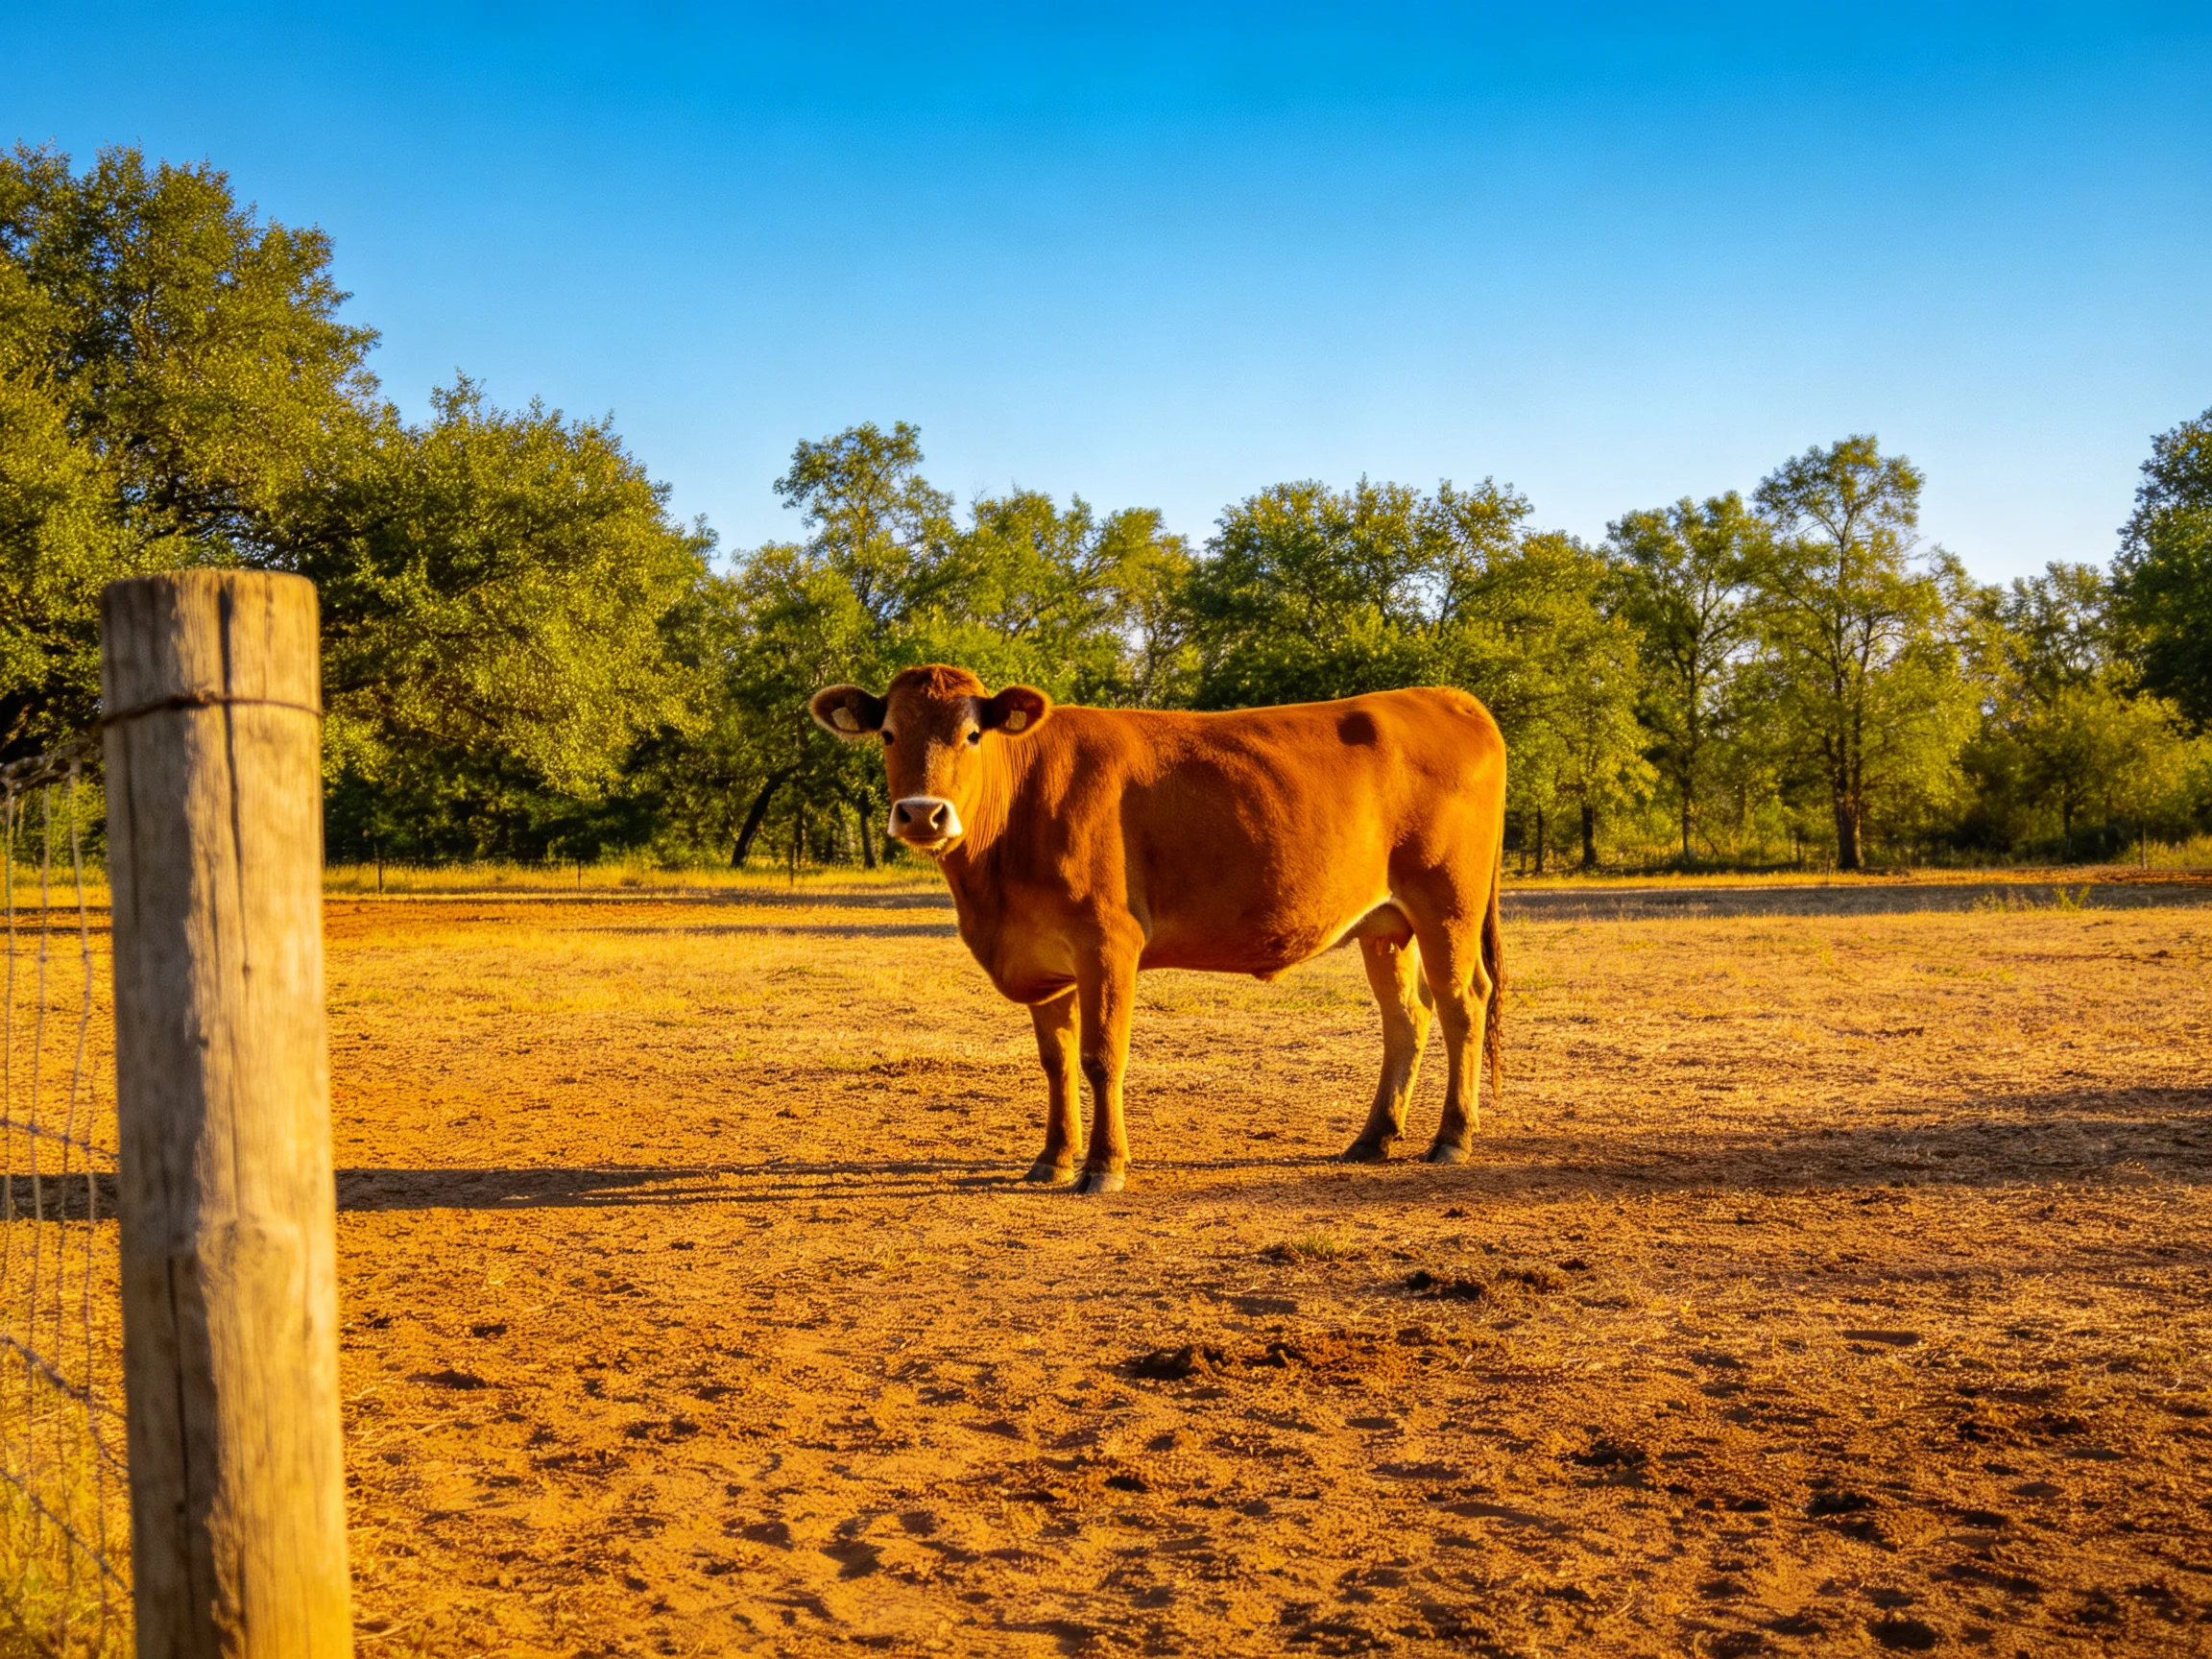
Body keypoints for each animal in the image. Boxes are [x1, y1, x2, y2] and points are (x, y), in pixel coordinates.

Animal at [810, 665, 1507, 1194]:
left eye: (973, 734)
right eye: (889, 733)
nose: (922, 814)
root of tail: (1442, 695)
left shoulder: (1108, 941)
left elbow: (1101, 1056)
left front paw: (1103, 1167)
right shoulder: (1044, 957)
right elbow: (1055, 1061)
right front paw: (1052, 1158)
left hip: (1448, 903)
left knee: (1463, 1003)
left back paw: (1452, 1137)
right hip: (1384, 924)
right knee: (1407, 1017)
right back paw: (1374, 1137)